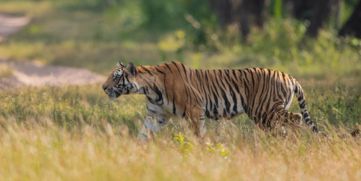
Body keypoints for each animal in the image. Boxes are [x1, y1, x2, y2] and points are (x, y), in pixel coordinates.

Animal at [102, 61, 318, 139]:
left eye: (116, 76)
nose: (103, 87)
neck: (149, 89)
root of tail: (289, 76)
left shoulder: (195, 110)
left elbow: (198, 133)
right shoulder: (157, 115)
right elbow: (143, 133)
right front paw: (134, 151)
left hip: (266, 110)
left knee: (297, 118)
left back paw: (293, 144)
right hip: (265, 116)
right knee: (283, 127)